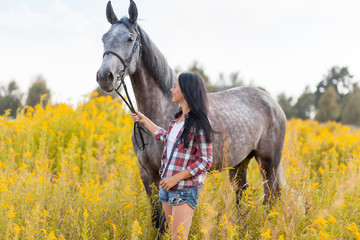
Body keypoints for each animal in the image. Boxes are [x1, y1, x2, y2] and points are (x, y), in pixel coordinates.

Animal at [96, 0, 286, 229]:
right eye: (104, 38)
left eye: (130, 38)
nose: (104, 77)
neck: (162, 109)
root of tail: (272, 102)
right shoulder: (146, 174)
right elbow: (156, 220)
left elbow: (166, 222)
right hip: (240, 163)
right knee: (242, 195)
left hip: (269, 163)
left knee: (271, 198)